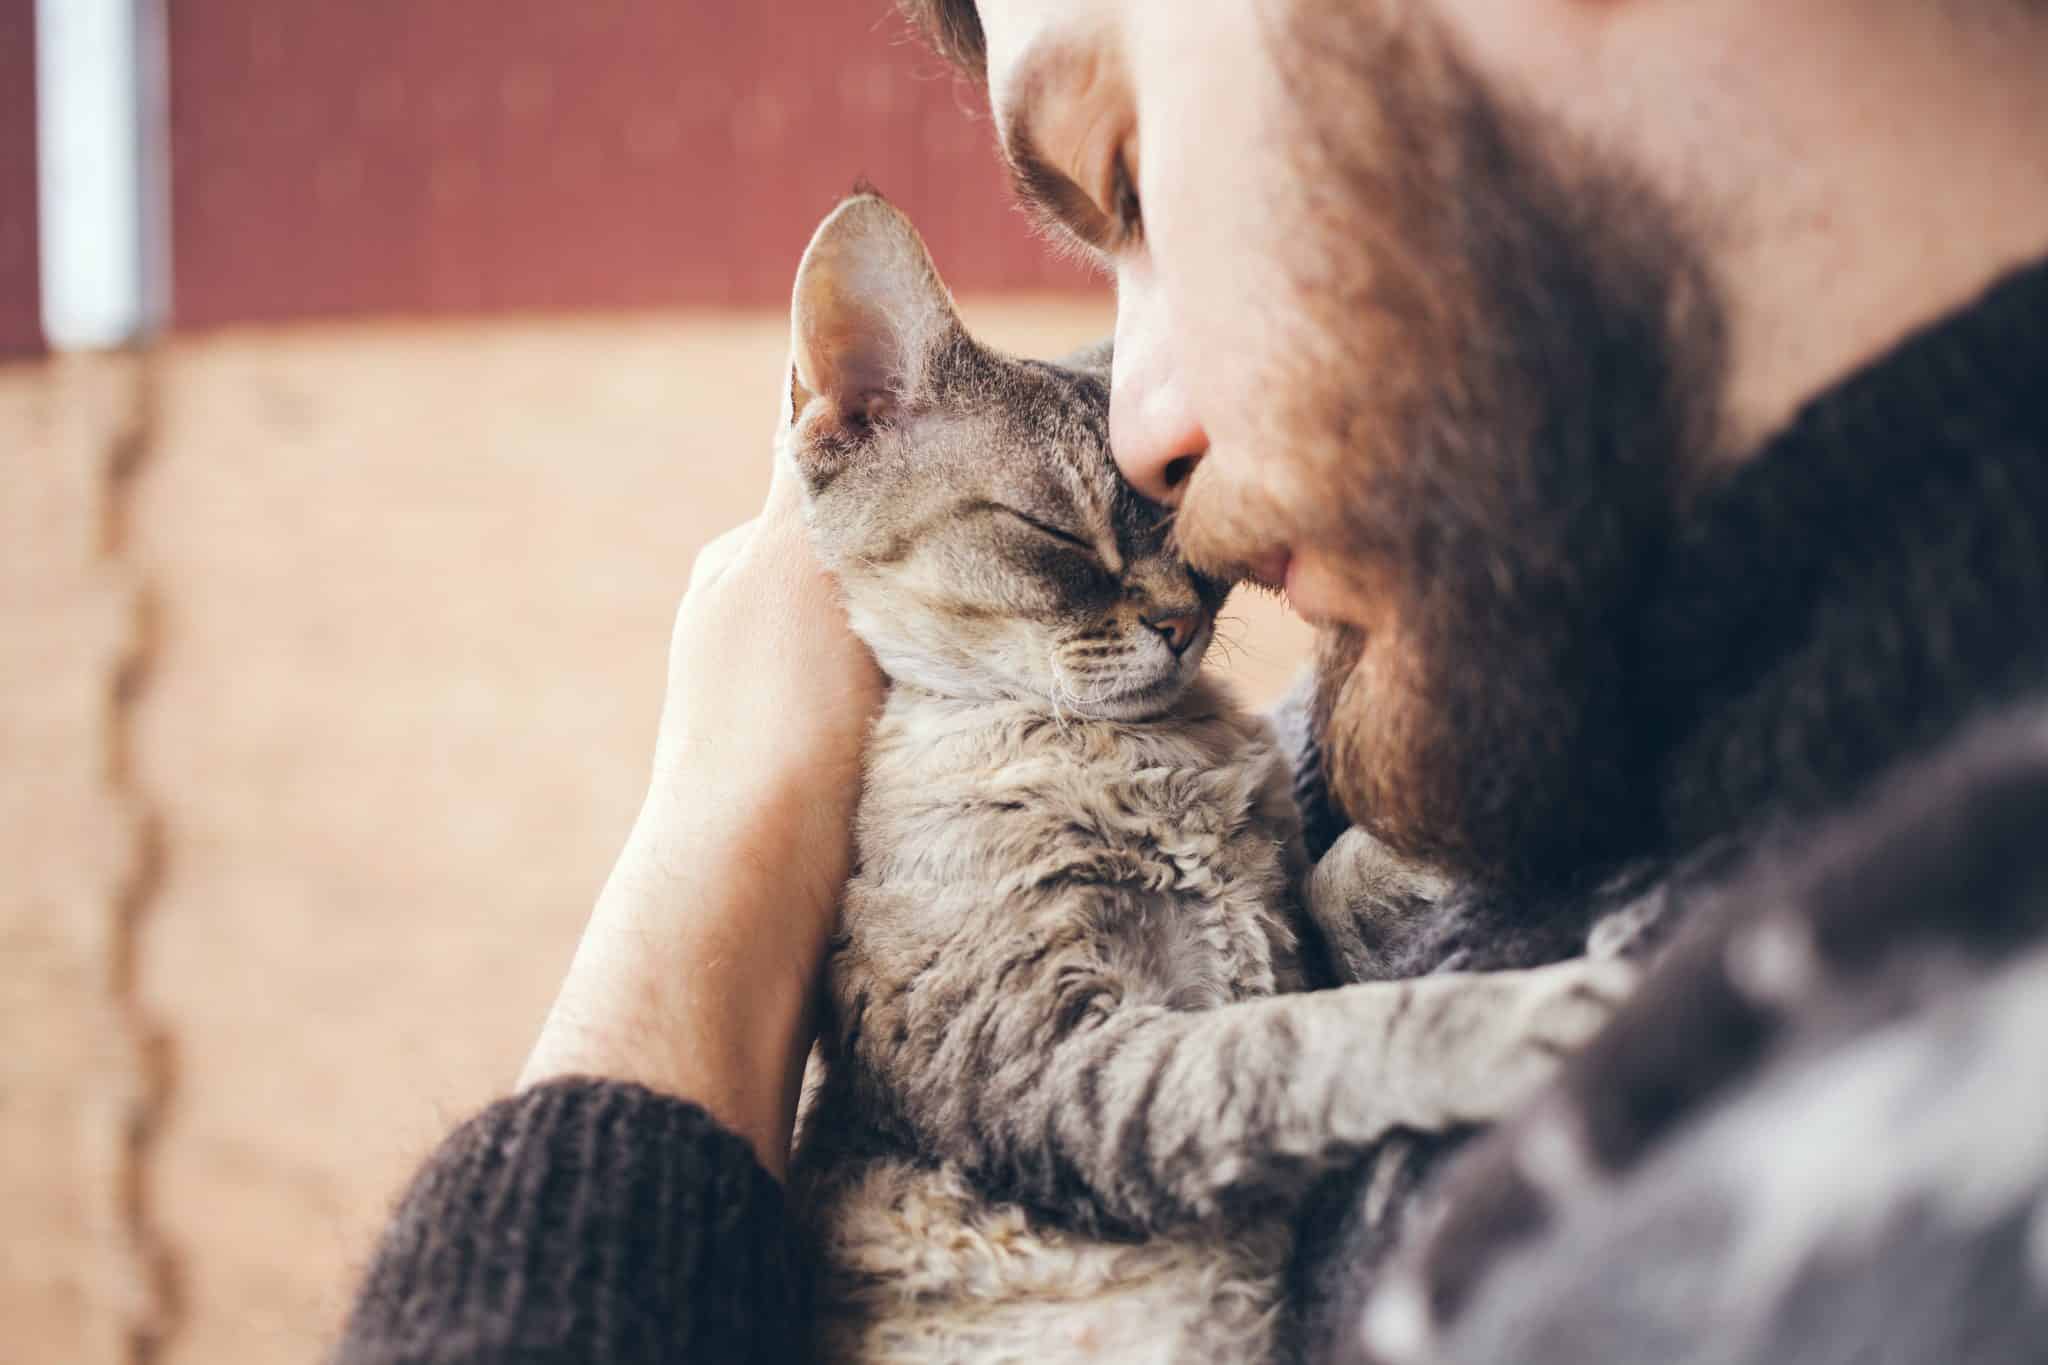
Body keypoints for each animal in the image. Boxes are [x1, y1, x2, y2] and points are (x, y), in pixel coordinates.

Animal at [774, 194, 1638, 1365]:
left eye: (1195, 548)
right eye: (1054, 531)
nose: (1180, 621)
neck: (1151, 760)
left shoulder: (1264, 940)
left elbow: (1329, 883)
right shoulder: (1058, 1067)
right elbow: (1300, 1045)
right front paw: (1521, 1016)